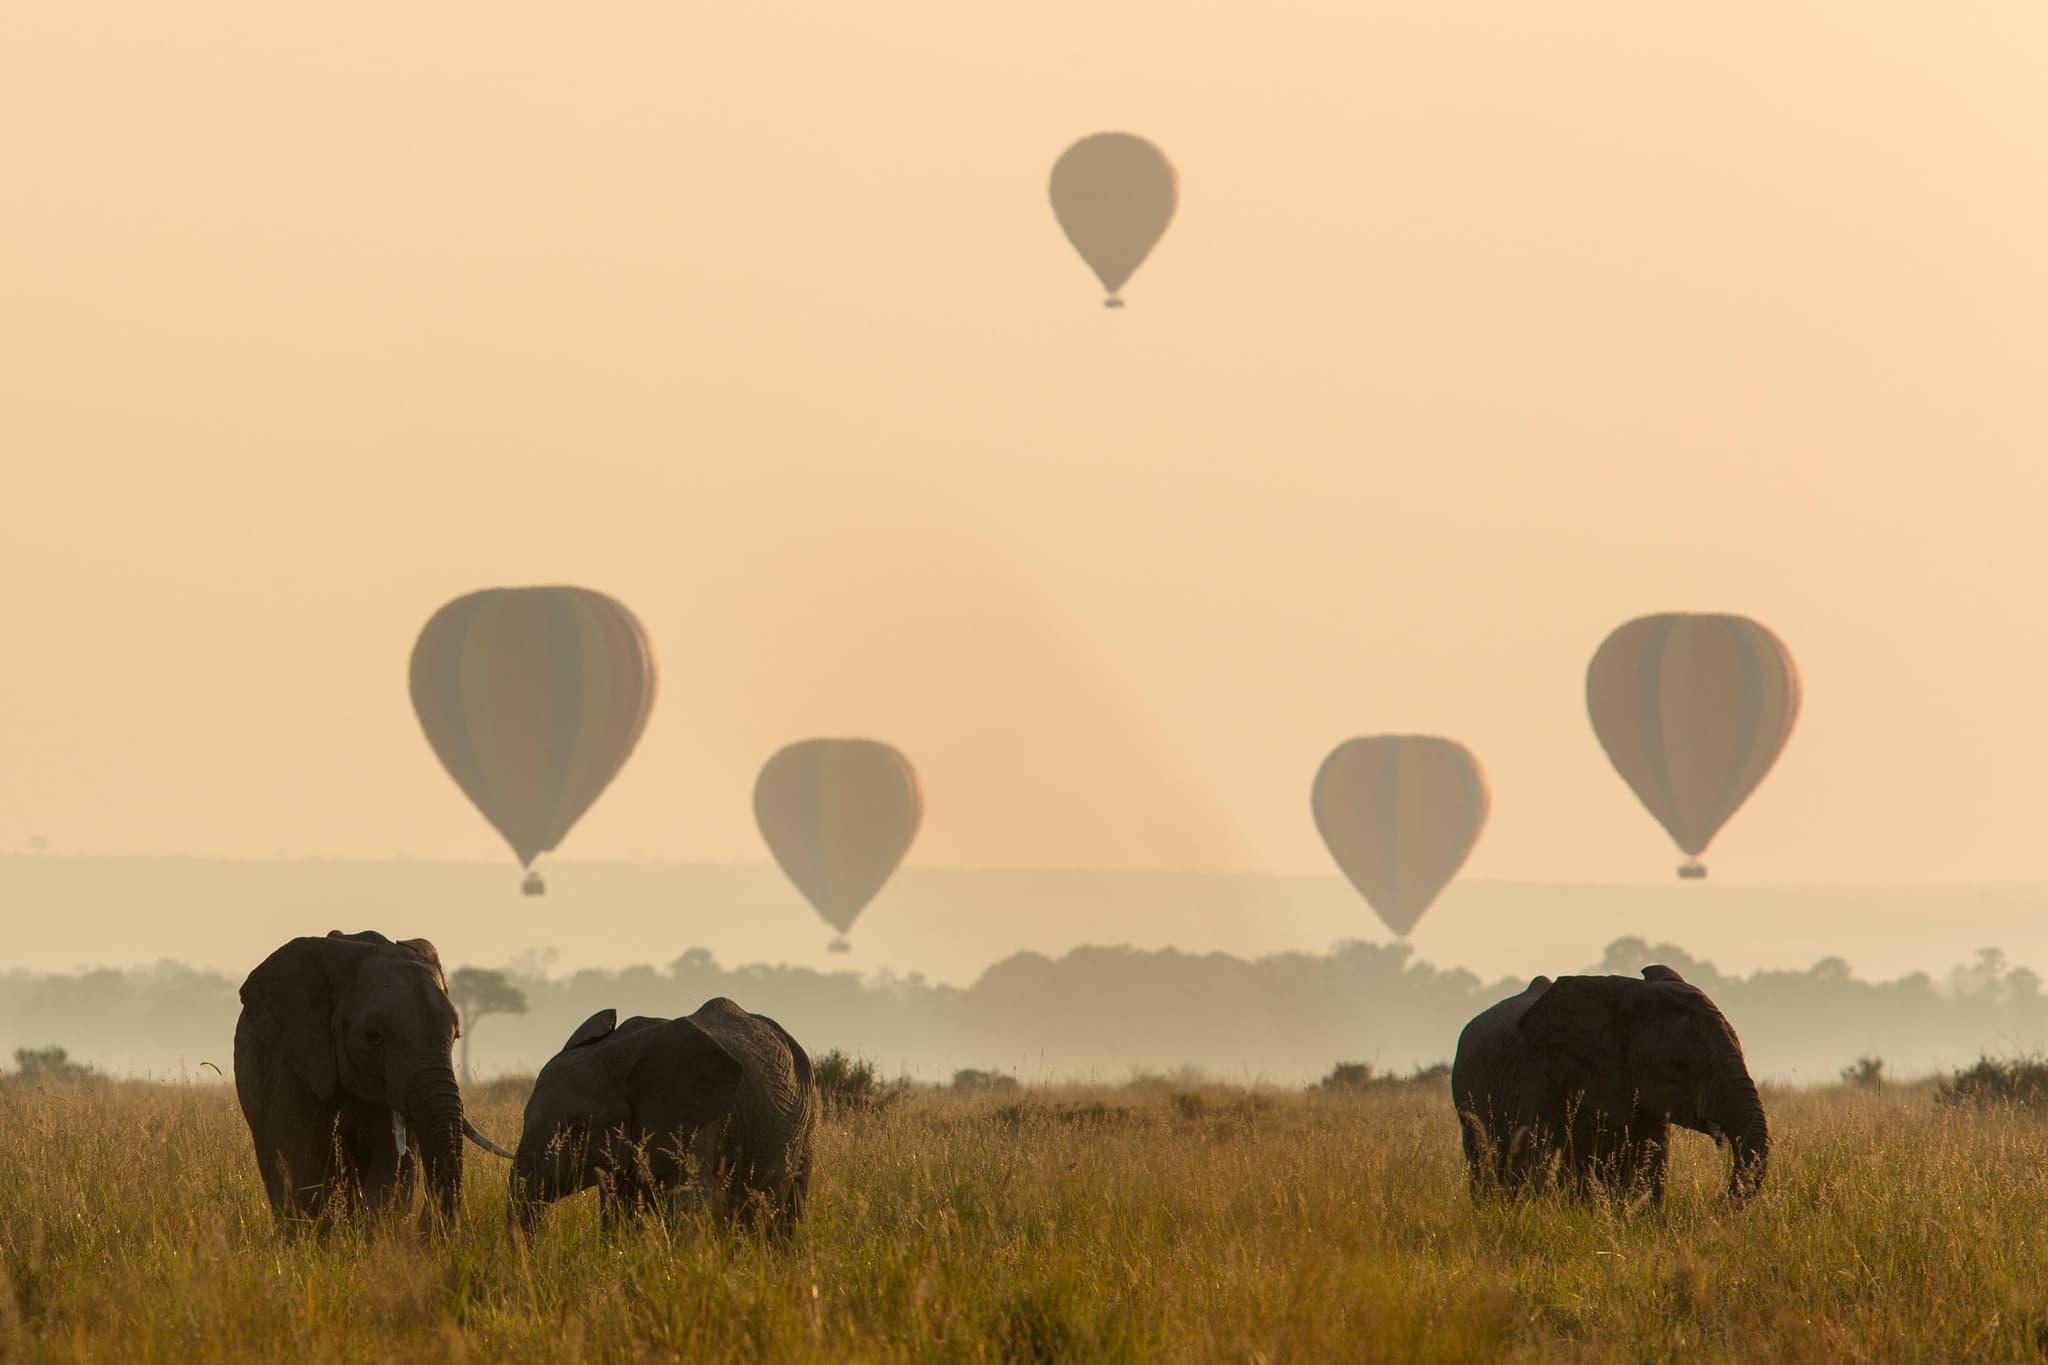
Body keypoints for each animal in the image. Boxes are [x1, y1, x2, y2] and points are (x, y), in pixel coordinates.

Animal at [510, 997, 816, 1238]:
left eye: (579, 1129)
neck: (617, 1054)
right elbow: (617, 1216)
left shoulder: (696, 1124)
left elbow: (687, 1207)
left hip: (808, 1121)